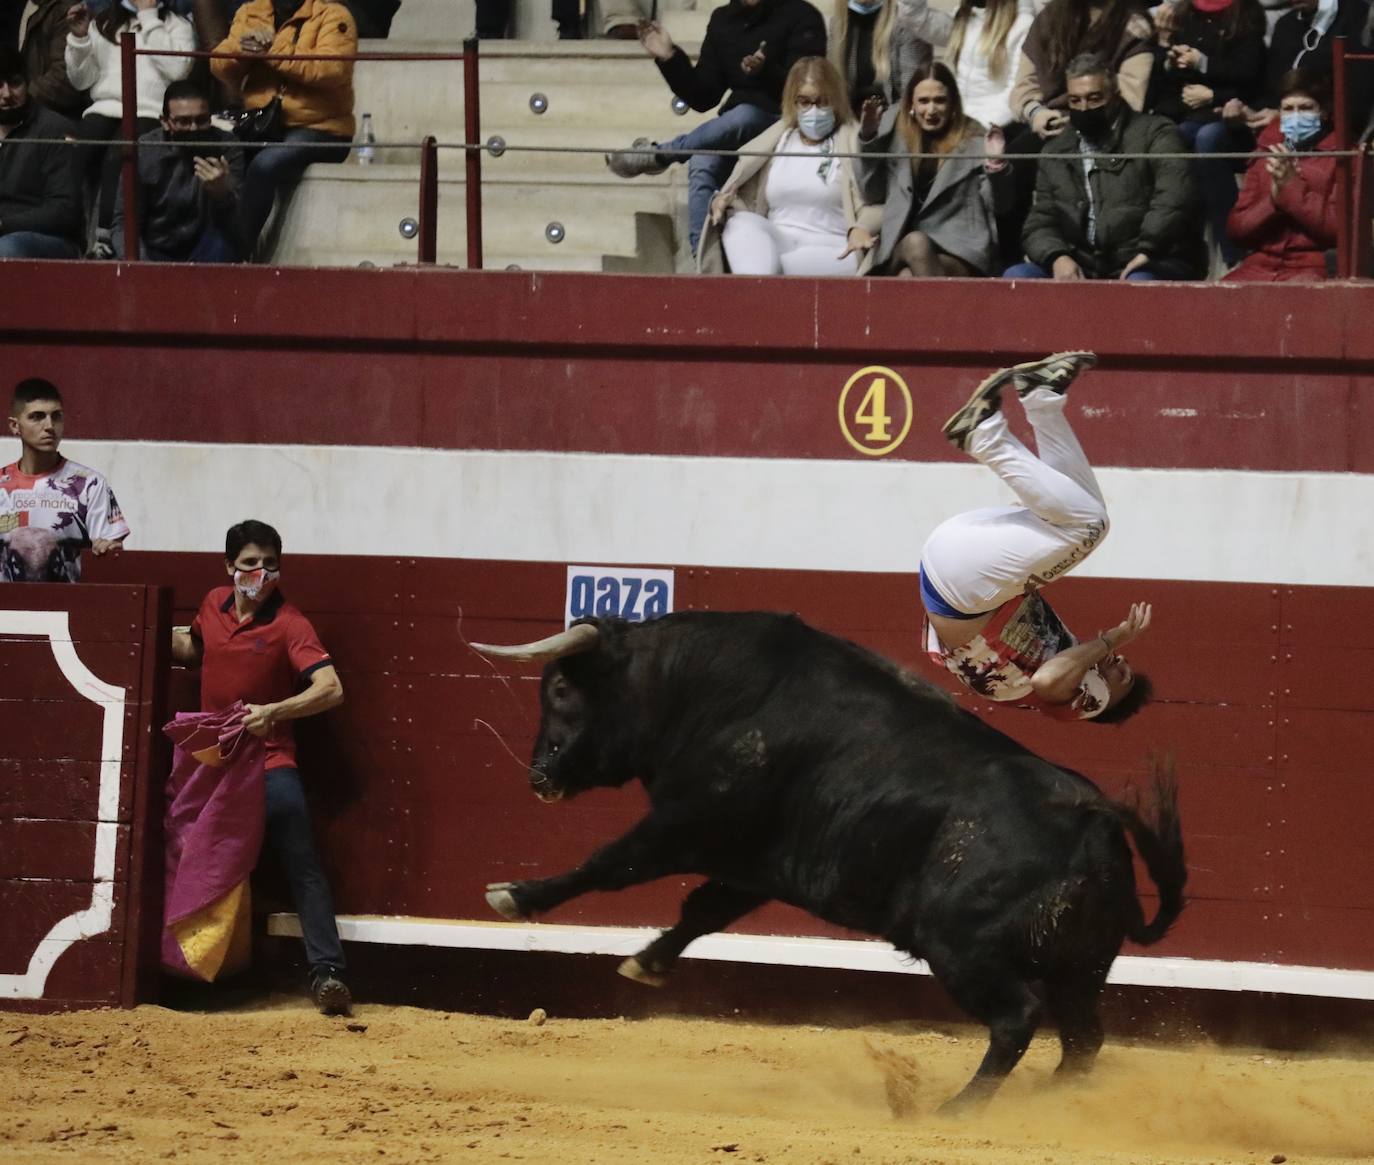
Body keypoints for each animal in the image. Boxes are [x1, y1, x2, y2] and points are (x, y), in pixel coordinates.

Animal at [472, 609, 1181, 1110]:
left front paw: (514, 896)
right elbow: (702, 910)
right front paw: (647, 963)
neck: (700, 686)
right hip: (1078, 970)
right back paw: (1046, 1100)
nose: (539, 778)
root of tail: (1093, 822)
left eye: (562, 689)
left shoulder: (686, 822)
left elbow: (610, 863)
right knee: (1082, 1041)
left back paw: (958, 1110)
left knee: (1016, 1020)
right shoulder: (749, 865)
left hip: (963, 949)